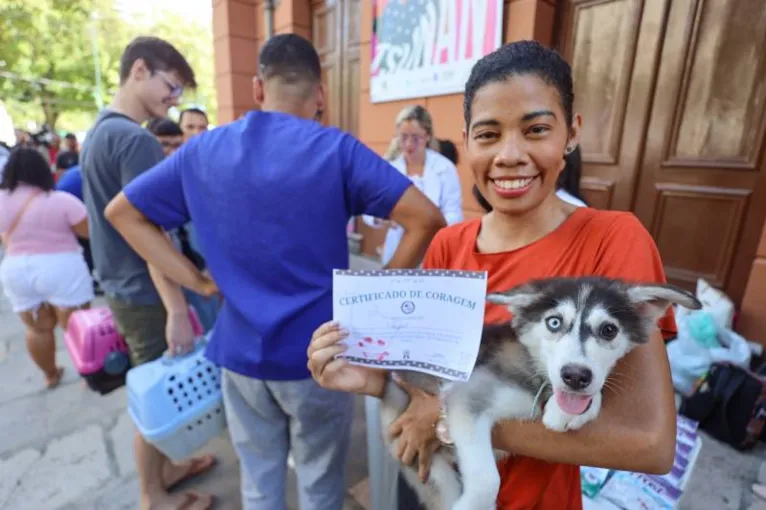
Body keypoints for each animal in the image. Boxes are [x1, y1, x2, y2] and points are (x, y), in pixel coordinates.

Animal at [378, 276, 704, 510]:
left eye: (609, 330)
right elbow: (486, 480)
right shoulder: (469, 395)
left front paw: (569, 411)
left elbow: (591, 395)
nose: (575, 376)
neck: (539, 377)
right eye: (554, 322)